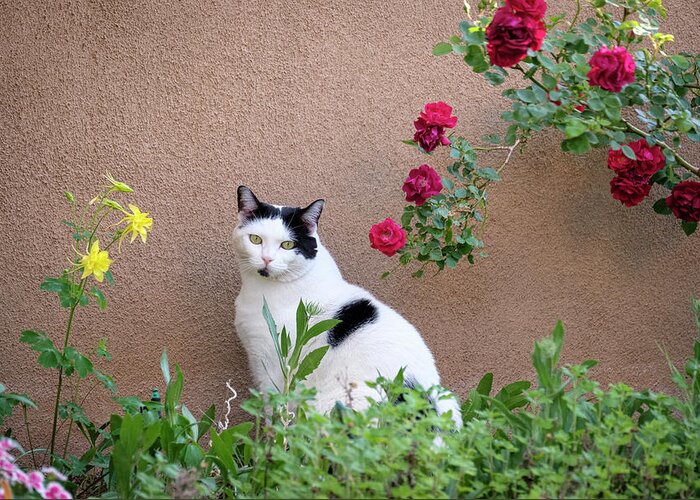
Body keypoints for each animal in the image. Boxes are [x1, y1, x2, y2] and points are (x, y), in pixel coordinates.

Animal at [235, 186, 462, 428]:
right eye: (255, 239)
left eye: (287, 244)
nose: (266, 259)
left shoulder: (275, 365)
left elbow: (275, 413)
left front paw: (272, 438)